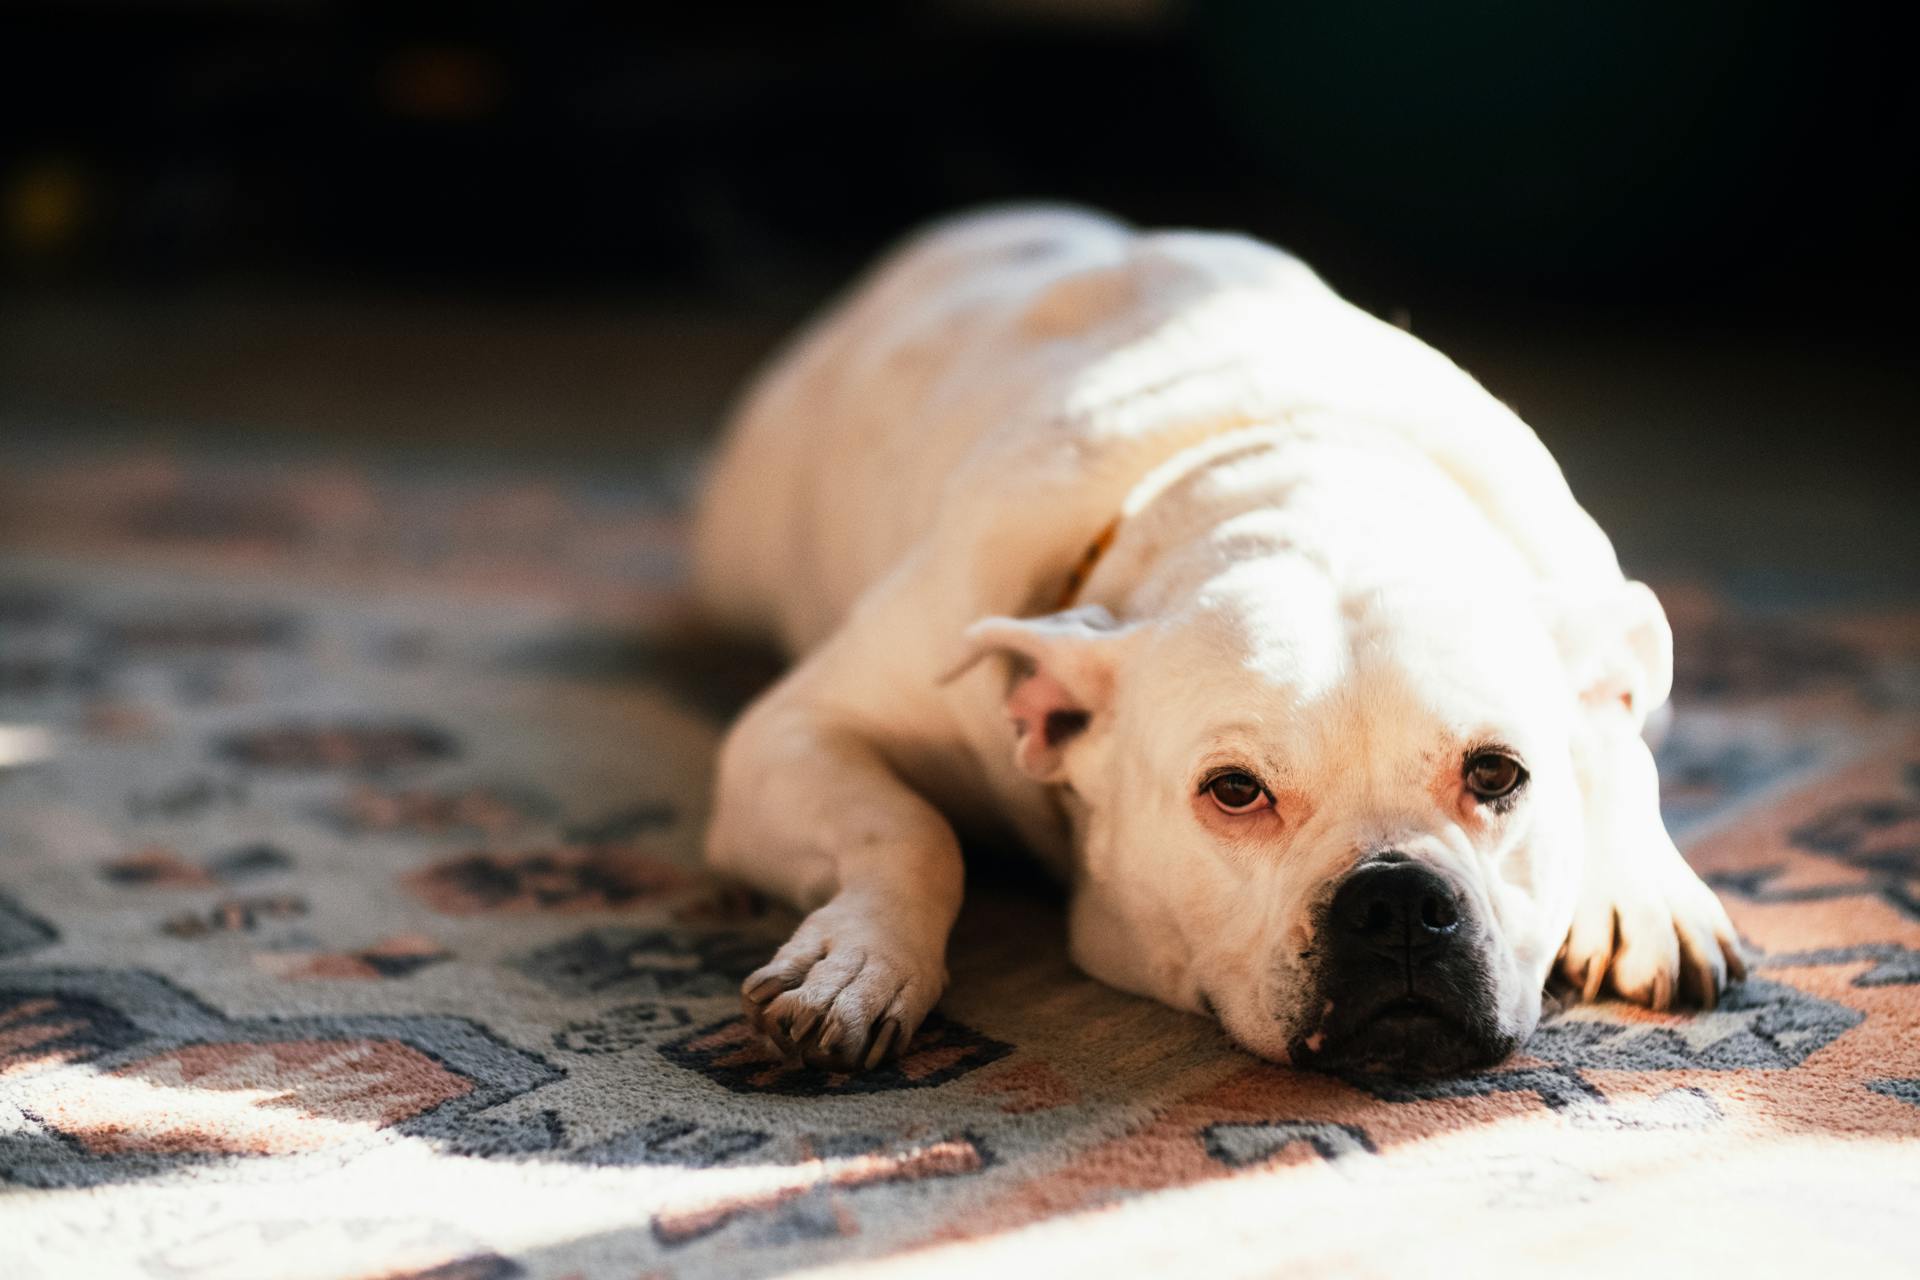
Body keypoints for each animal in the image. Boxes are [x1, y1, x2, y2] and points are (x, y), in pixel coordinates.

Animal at [698, 205, 1751, 1074]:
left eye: (1497, 773)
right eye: (1235, 792)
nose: (1398, 902)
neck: (1299, 471)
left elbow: (1625, 753)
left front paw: (1645, 888)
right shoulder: (790, 735)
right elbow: (911, 832)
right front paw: (860, 962)